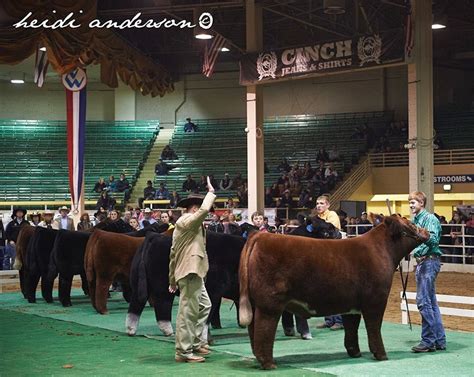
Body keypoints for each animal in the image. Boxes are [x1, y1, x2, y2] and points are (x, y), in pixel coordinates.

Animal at [241, 213, 430, 368]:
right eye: (411, 224)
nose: (427, 231)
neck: (382, 250)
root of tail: (261, 236)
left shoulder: (352, 306)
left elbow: (351, 329)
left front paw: (355, 352)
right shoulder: (376, 300)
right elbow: (374, 328)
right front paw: (381, 355)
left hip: (255, 304)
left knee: (253, 331)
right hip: (269, 305)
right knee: (263, 331)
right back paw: (269, 363)